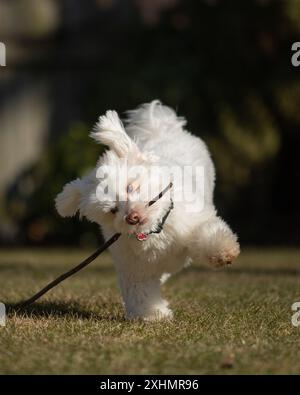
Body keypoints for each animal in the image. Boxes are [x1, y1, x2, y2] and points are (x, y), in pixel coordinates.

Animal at [55, 100, 239, 320]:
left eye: (130, 187)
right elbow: (141, 291)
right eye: (113, 210)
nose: (132, 217)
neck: (156, 229)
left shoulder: (195, 222)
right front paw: (153, 314)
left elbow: (208, 233)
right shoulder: (134, 267)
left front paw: (222, 252)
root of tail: (158, 126)